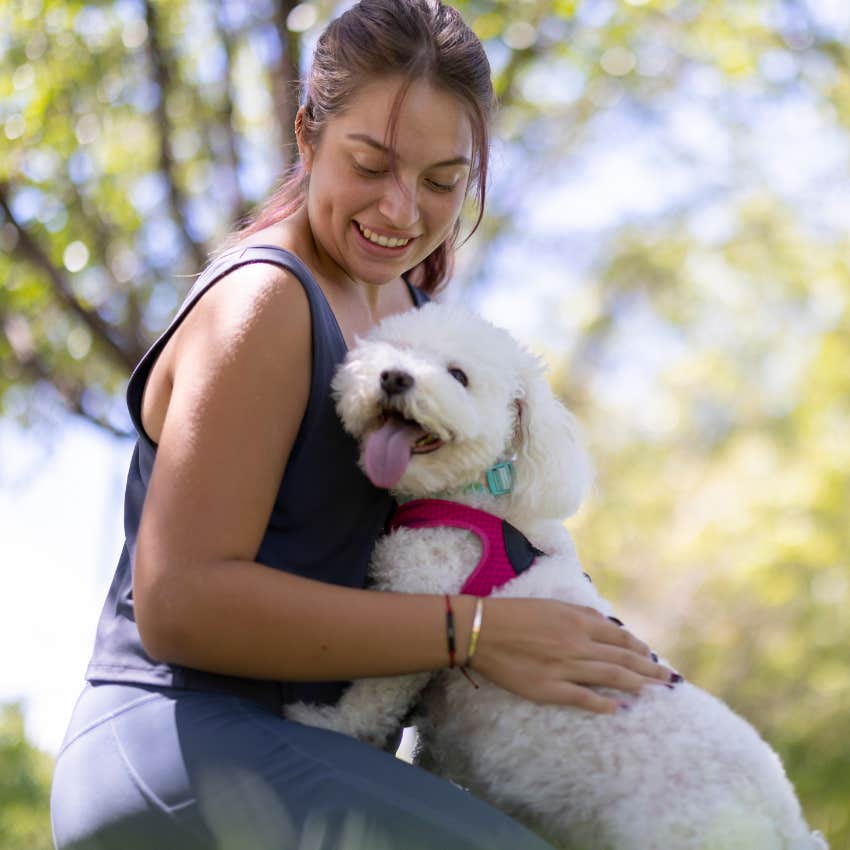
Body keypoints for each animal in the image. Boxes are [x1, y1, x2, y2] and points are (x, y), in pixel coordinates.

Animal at [284, 302, 820, 844]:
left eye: (458, 375)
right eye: (396, 348)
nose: (394, 376)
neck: (478, 501)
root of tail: (786, 826)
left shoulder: (420, 604)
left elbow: (375, 695)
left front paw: (328, 723)